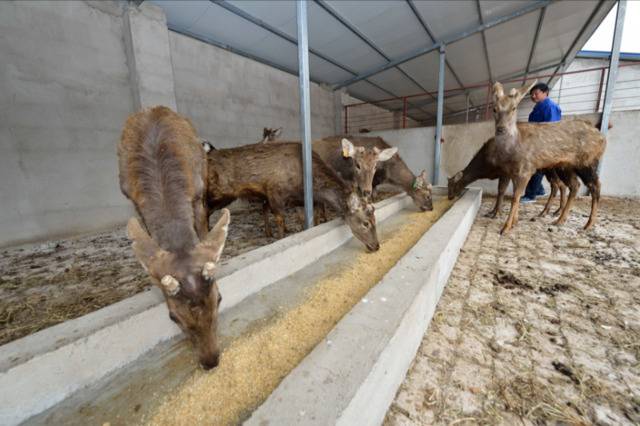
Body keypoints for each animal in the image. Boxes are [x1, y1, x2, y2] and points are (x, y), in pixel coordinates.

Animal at [117, 106, 230, 370]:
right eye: (173, 316)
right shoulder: (134, 201)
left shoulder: (198, 193)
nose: (211, 361)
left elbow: (202, 230)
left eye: (219, 299)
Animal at [204, 141, 380, 251]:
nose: (376, 246)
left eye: (375, 220)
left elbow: (311, 219)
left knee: (262, 207)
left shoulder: (301, 200)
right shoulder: (276, 193)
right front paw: (281, 238)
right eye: (366, 223)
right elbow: (281, 221)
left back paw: (267, 232)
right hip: (217, 195)